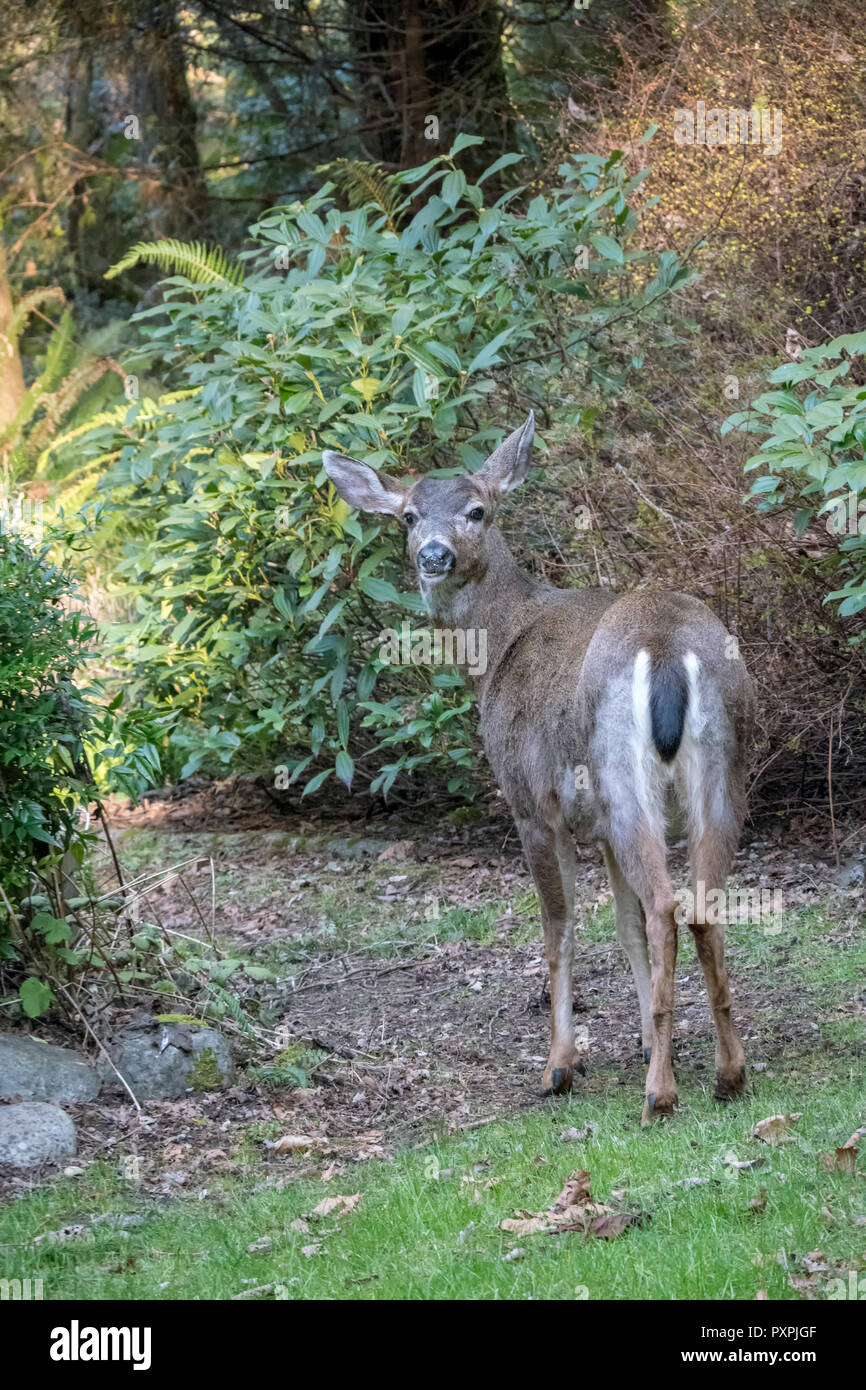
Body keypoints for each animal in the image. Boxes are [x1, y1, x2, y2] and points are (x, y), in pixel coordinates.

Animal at [322, 408, 756, 1117]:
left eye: (477, 510)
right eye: (408, 516)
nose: (434, 555)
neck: (499, 644)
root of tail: (666, 648)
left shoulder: (532, 803)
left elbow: (560, 930)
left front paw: (560, 1065)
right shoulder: (598, 825)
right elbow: (622, 925)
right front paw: (642, 1039)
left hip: (620, 774)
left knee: (666, 906)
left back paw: (659, 1094)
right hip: (725, 768)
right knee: (701, 904)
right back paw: (728, 1074)